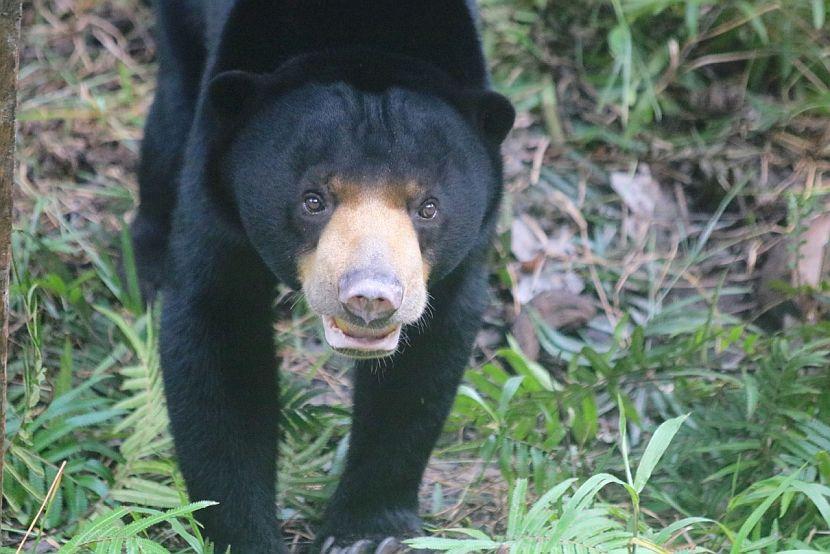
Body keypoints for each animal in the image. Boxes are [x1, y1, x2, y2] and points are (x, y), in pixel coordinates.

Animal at [132, 2, 512, 548]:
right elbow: (217, 337)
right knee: (170, 115)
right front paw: (247, 535)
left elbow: (423, 362)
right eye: (314, 200)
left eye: (428, 207)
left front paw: (365, 535)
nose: (370, 297)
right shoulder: (218, 195)